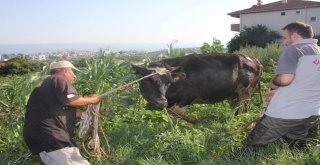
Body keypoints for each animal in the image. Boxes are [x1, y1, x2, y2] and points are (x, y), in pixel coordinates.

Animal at [131, 52, 262, 123]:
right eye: (148, 80)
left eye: (168, 82)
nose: (161, 102)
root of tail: (254, 59)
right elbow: (172, 116)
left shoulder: (189, 96)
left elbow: (175, 112)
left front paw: (196, 121)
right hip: (233, 94)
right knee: (237, 109)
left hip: (246, 92)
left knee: (242, 109)